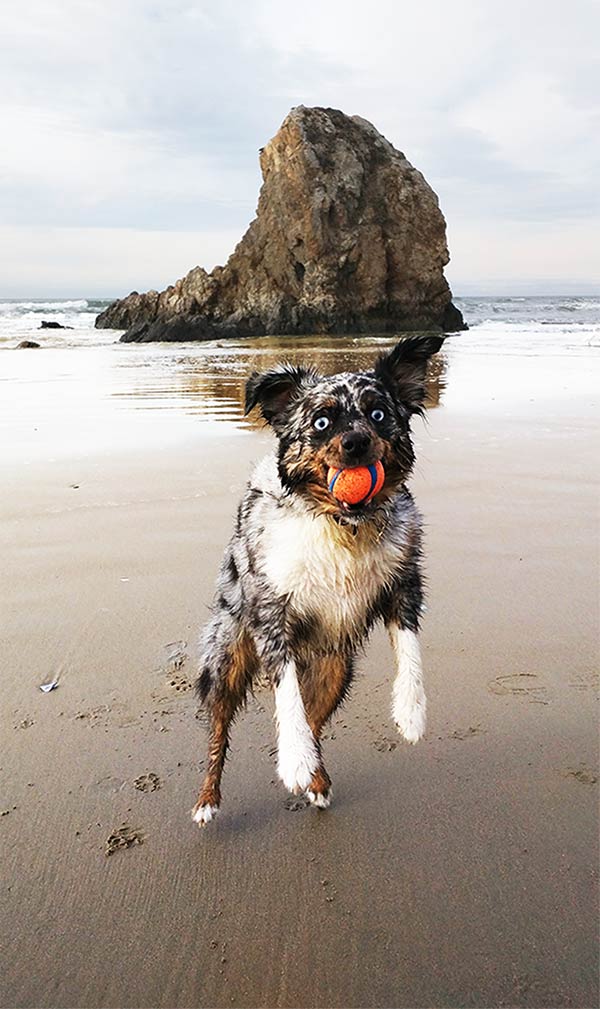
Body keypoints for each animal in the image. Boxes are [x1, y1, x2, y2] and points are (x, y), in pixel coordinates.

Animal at [193, 334, 445, 823]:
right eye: (322, 421)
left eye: (378, 413)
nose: (356, 444)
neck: (344, 525)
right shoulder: (272, 612)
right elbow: (286, 694)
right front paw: (293, 759)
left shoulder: (404, 578)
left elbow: (410, 647)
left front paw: (411, 712)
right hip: (227, 655)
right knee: (219, 729)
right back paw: (208, 800)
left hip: (335, 669)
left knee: (315, 718)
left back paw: (318, 780)